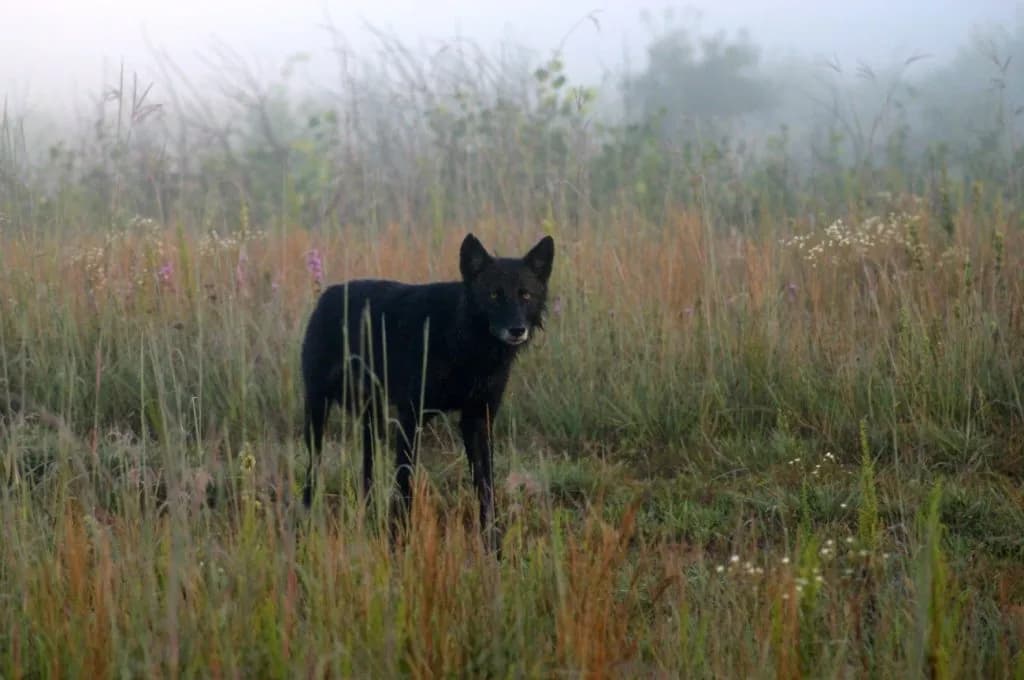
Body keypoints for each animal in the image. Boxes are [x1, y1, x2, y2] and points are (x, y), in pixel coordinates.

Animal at [300, 233, 554, 549]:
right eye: (494, 295)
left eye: (525, 295)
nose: (517, 330)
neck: (462, 339)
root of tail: (328, 294)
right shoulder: (411, 420)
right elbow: (405, 485)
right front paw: (399, 544)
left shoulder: (477, 421)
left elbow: (486, 490)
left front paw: (493, 547)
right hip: (317, 414)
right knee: (312, 472)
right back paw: (308, 523)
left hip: (372, 421)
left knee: (367, 471)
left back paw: (368, 519)